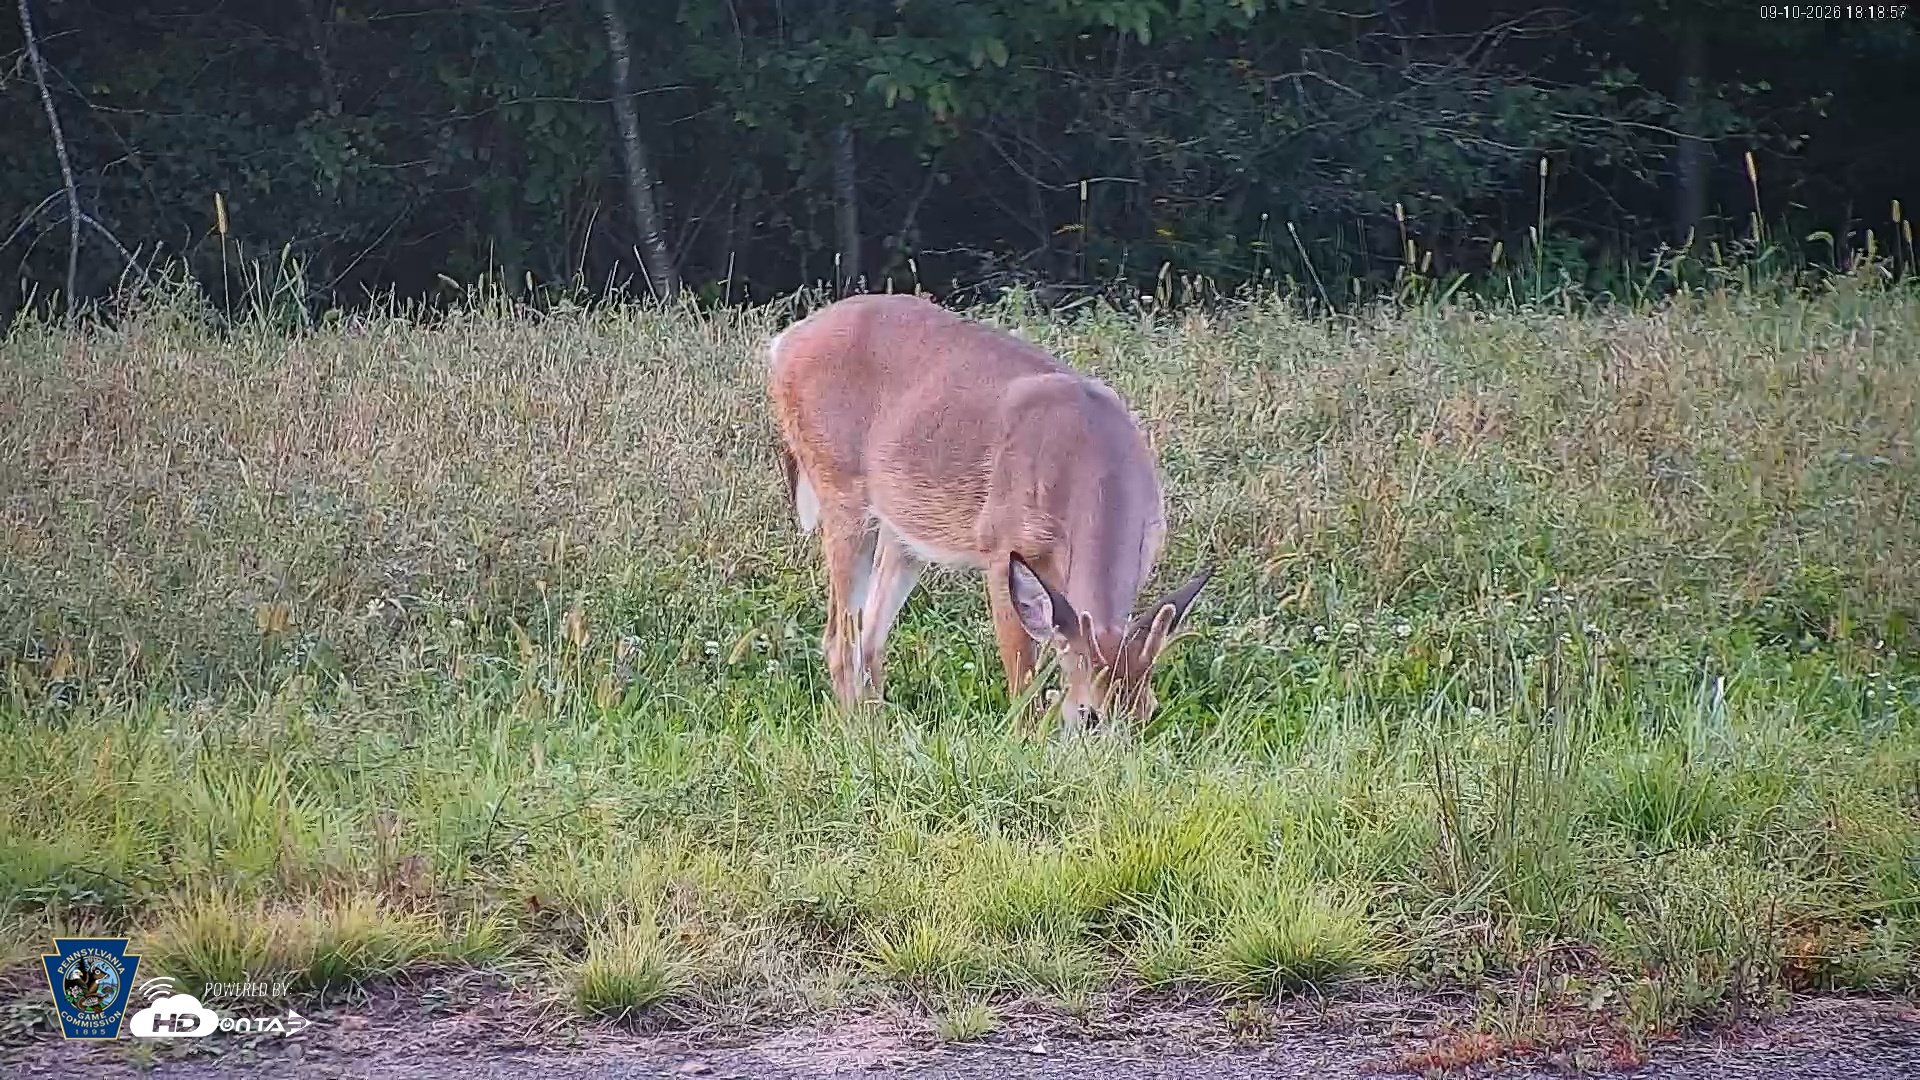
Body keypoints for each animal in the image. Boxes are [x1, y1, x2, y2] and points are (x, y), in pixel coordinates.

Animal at [765, 293, 1212, 733]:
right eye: (1089, 716)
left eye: (1149, 711)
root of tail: (782, 344)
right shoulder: (1001, 548)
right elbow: (1024, 680)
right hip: (840, 492)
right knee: (839, 639)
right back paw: (857, 731)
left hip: (903, 532)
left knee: (871, 635)